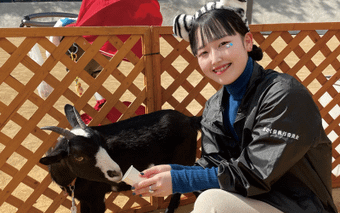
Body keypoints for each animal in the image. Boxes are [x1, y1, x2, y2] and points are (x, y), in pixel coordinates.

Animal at [39, 104, 201, 213]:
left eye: (102, 143)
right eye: (79, 157)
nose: (115, 172)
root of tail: (190, 120)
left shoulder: (96, 198)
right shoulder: (85, 199)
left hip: (182, 160)